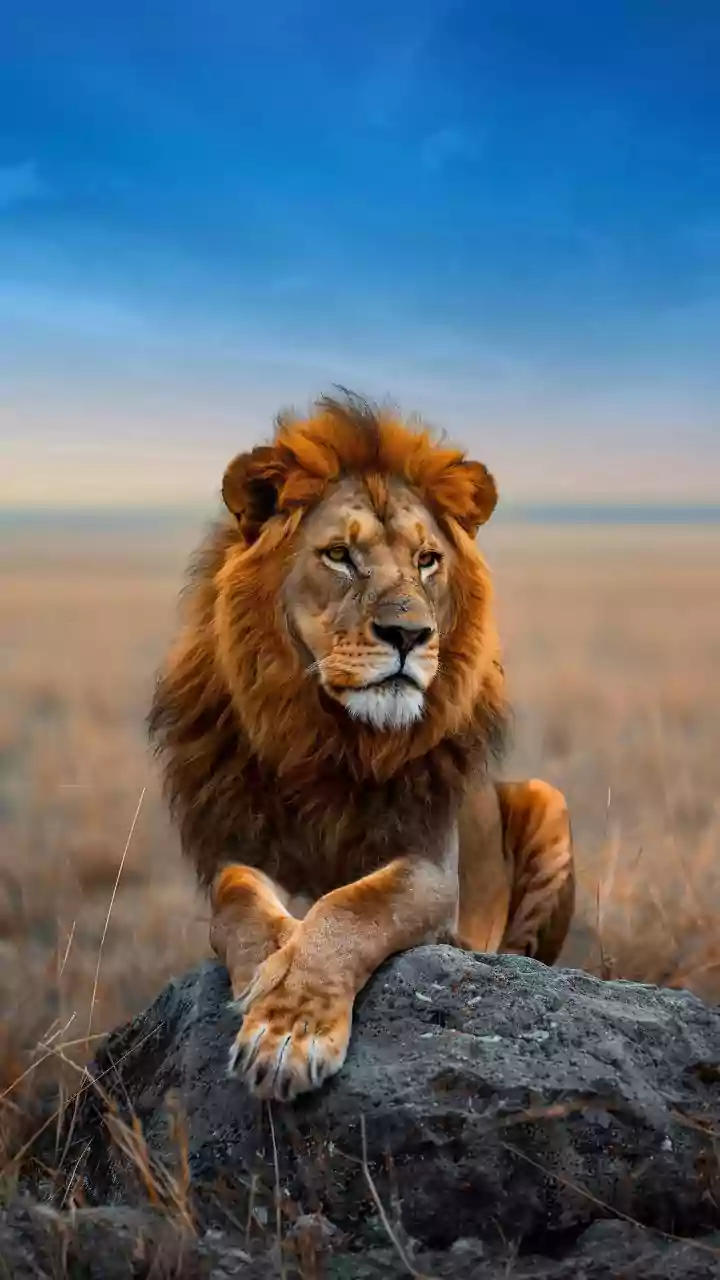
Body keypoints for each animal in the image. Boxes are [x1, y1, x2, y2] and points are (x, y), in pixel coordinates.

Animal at [149, 392, 574, 1102]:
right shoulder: (239, 849)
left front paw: (288, 1029)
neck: (333, 738)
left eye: (428, 560)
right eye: (340, 556)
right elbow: (241, 904)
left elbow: (354, 905)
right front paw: (269, 972)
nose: (410, 633)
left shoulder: (432, 867)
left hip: (547, 801)